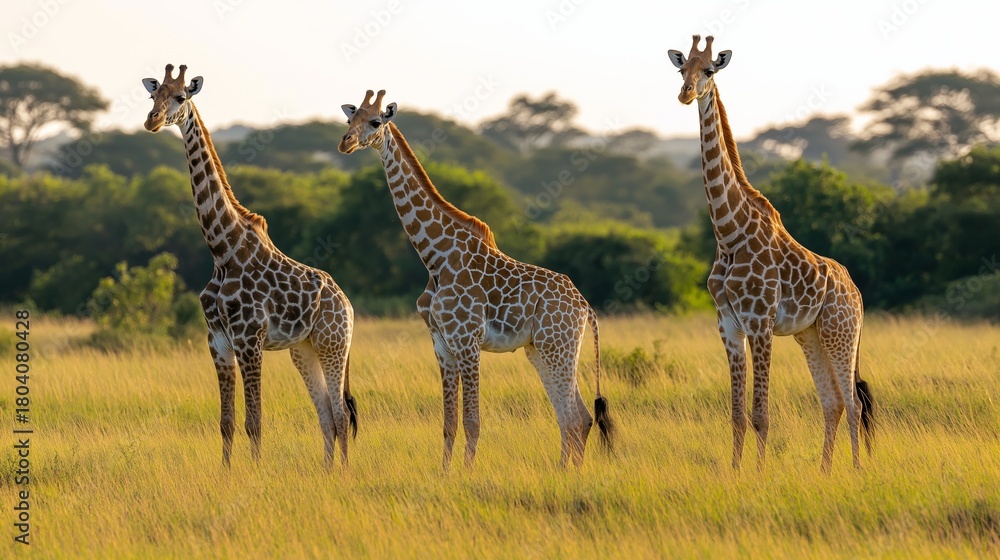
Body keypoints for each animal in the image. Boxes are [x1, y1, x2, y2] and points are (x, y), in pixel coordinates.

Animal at [142, 64, 357, 466]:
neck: (222, 249)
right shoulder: (218, 340)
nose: (152, 120)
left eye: (180, 96)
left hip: (333, 344)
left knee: (339, 414)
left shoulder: (249, 338)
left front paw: (256, 474)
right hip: (303, 349)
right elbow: (226, 422)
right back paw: (327, 473)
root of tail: (347, 304)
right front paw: (226, 474)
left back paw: (345, 474)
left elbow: (254, 421)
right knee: (326, 416)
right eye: (152, 94)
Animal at [337, 90, 614, 468]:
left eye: (376, 122)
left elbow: (472, 421)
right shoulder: (441, 343)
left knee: (574, 416)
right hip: (541, 350)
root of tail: (585, 307)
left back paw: (567, 473)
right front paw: (444, 473)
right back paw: (566, 472)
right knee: (577, 416)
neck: (435, 257)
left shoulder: (468, 340)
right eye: (349, 119)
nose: (345, 143)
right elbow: (449, 422)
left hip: (558, 346)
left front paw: (467, 474)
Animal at [667, 37, 875, 473]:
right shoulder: (728, 325)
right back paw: (824, 472)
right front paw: (734, 474)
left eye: (709, 70)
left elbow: (761, 414)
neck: (729, 234)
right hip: (811, 335)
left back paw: (855, 470)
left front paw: (760, 477)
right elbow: (736, 415)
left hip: (841, 332)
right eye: (681, 69)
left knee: (853, 403)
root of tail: (857, 292)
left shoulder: (760, 323)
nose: (686, 94)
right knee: (833, 402)